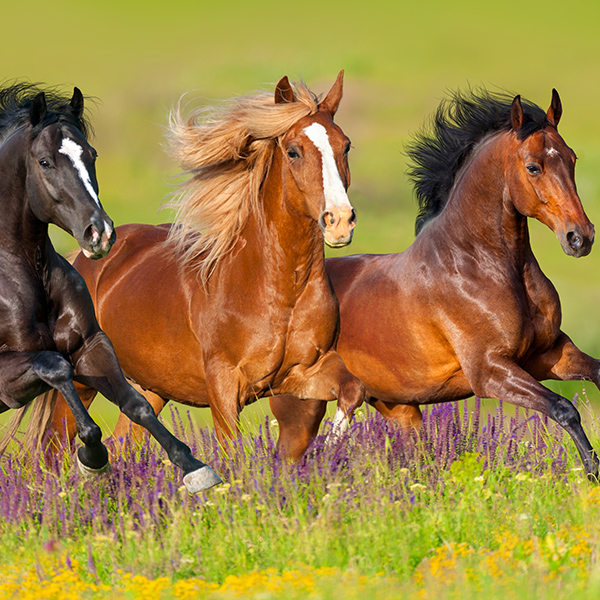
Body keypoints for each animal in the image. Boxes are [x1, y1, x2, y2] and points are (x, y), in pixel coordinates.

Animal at [0, 83, 220, 492]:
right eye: (44, 162)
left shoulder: (91, 346)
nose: (99, 232)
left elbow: (136, 404)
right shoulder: (7, 378)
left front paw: (194, 467)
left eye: (92, 154)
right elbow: (55, 366)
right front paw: (93, 457)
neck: (24, 277)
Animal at [41, 74, 366, 460]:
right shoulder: (224, 384)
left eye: (345, 146)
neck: (279, 289)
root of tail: (82, 261)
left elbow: (352, 390)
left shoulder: (303, 372)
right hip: (82, 378)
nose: (339, 221)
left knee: (123, 443)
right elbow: (231, 452)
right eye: (293, 151)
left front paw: (329, 448)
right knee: (52, 447)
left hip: (149, 387)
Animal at [288, 85, 600, 478]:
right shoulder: (490, 371)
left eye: (572, 159)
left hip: (399, 407)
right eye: (533, 167)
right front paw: (593, 471)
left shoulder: (548, 354)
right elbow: (564, 408)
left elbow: (596, 372)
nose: (580, 238)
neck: (478, 265)